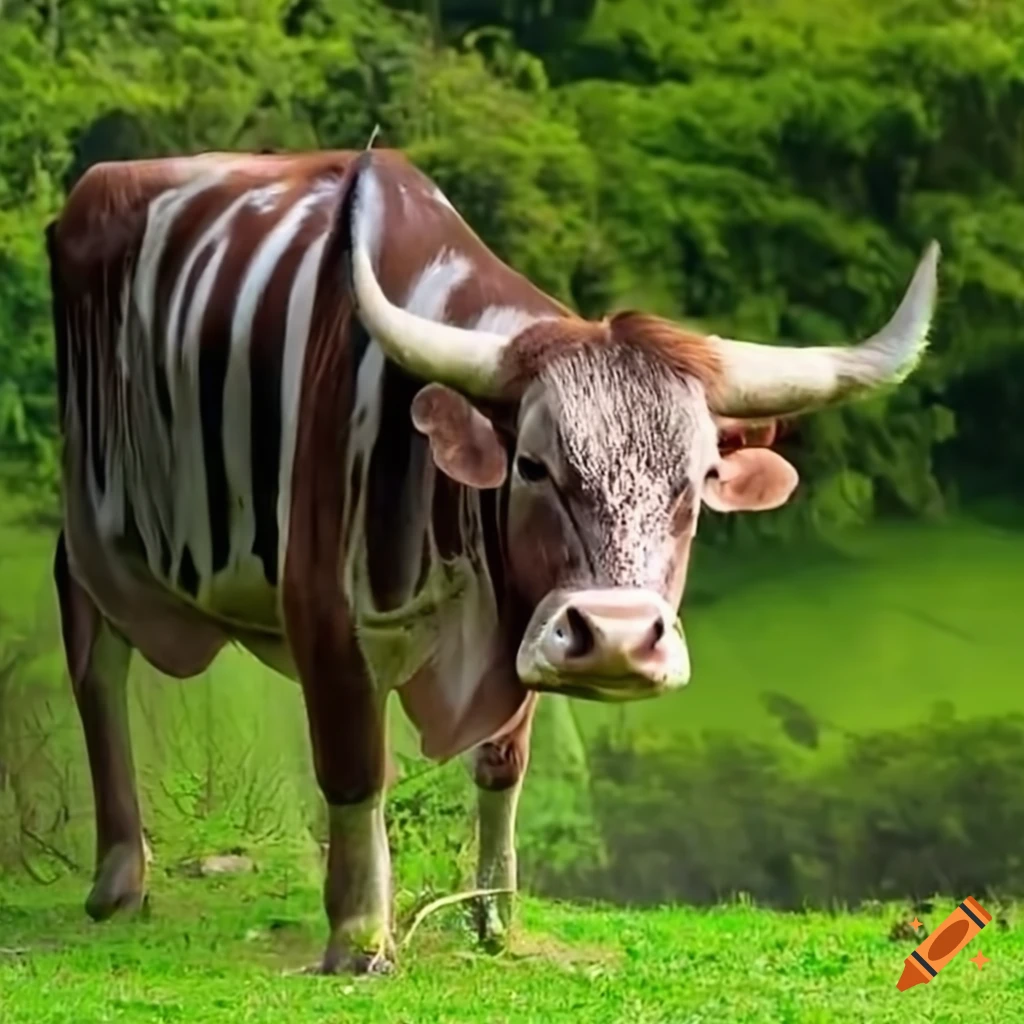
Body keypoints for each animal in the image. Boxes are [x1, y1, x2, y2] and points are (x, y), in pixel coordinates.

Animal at [47, 147, 938, 974]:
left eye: (696, 483)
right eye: (533, 467)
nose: (619, 638)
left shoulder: (529, 624)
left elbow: (503, 764)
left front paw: (495, 918)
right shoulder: (322, 615)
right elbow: (354, 770)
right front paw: (359, 939)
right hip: (89, 528)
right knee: (95, 661)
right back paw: (118, 878)